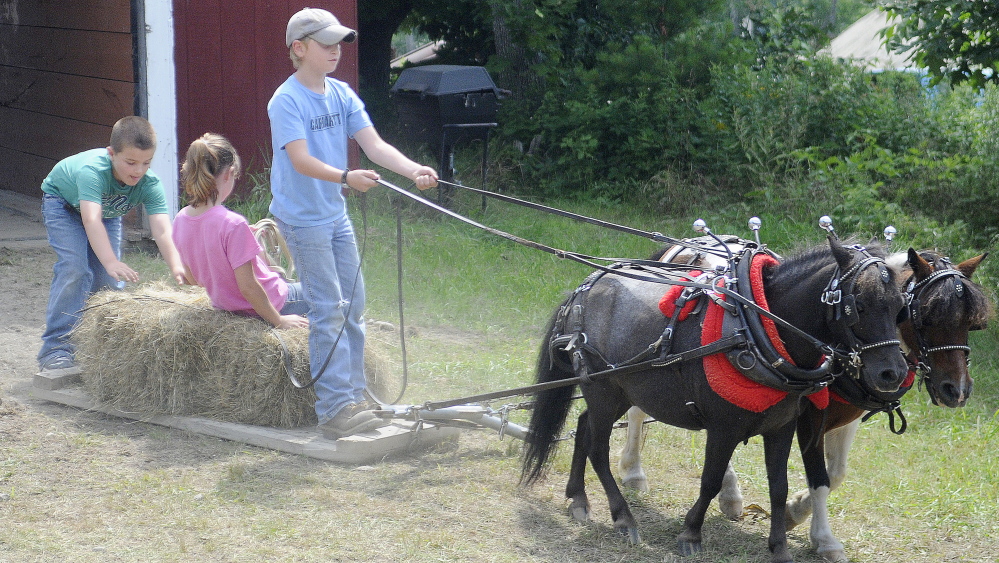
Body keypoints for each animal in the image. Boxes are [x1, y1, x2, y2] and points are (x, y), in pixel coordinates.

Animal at [521, 236, 910, 563]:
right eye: (858, 305)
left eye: (899, 308)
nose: (892, 373)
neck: (758, 329)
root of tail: (586, 286)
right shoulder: (723, 428)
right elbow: (710, 479)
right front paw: (691, 533)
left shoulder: (781, 427)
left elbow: (779, 487)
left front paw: (779, 547)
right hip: (603, 390)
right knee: (598, 448)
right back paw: (623, 517)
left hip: (616, 392)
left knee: (584, 427)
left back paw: (578, 498)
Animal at [617, 243, 992, 562]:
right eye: (924, 317)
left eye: (971, 323)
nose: (957, 390)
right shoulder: (809, 418)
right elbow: (820, 477)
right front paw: (821, 536)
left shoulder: (846, 418)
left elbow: (836, 474)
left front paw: (795, 512)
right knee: (637, 409)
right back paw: (633, 472)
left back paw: (729, 493)